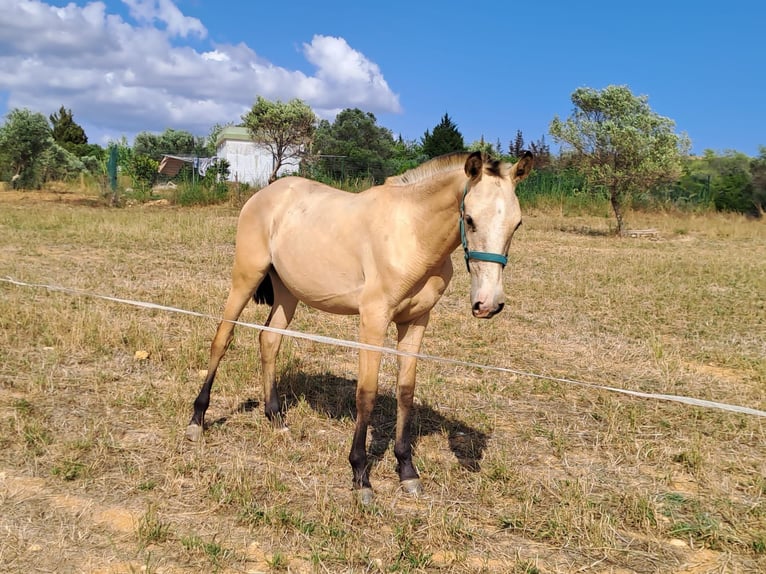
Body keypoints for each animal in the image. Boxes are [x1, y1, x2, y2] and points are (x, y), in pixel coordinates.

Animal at [186, 151, 536, 506]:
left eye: (517, 224)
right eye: (470, 219)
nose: (488, 304)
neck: (411, 233)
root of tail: (265, 193)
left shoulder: (416, 322)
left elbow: (405, 392)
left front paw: (407, 471)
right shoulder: (373, 320)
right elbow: (366, 394)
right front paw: (361, 476)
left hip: (287, 293)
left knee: (269, 340)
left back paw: (277, 420)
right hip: (245, 276)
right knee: (222, 337)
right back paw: (197, 421)